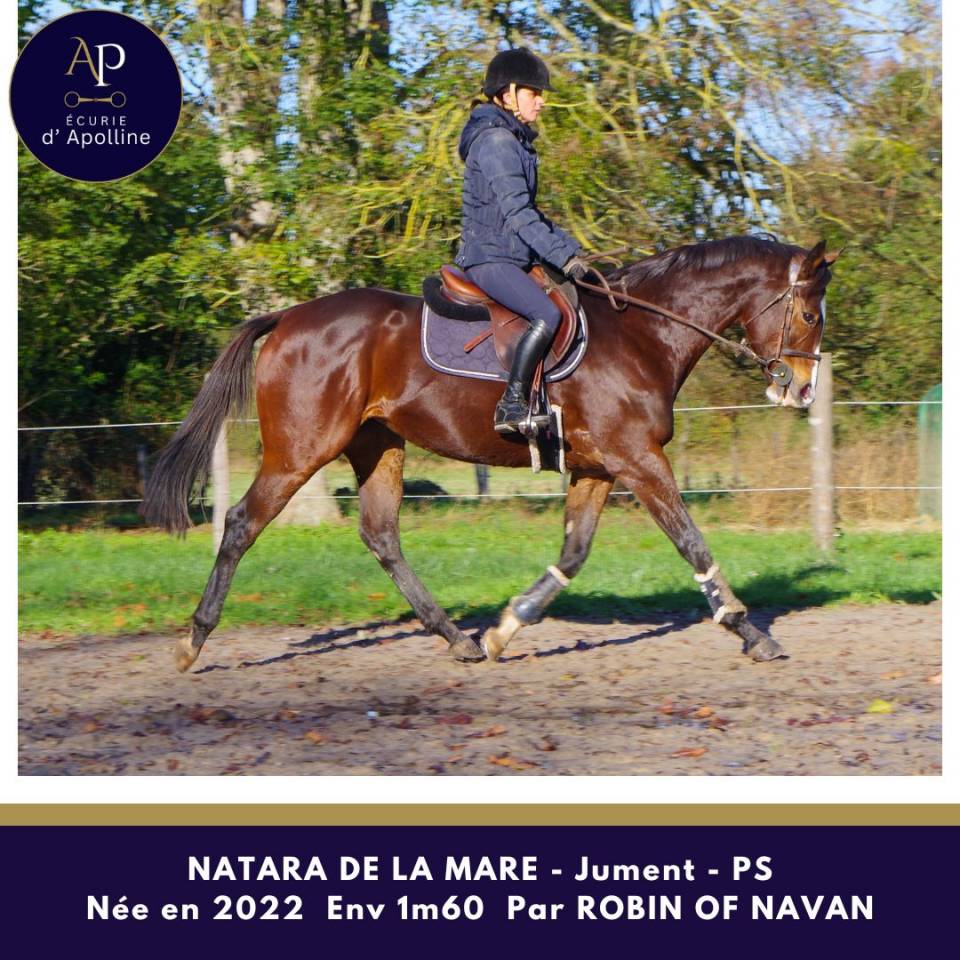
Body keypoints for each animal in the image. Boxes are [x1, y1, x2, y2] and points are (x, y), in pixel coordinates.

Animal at [141, 235, 835, 672]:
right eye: (808, 314)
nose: (801, 389)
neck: (643, 333)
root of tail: (286, 318)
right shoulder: (638, 460)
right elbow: (693, 542)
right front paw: (748, 630)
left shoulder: (598, 468)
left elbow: (573, 554)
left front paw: (505, 629)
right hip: (301, 449)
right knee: (241, 525)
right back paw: (192, 642)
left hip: (378, 446)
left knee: (381, 535)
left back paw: (457, 639)